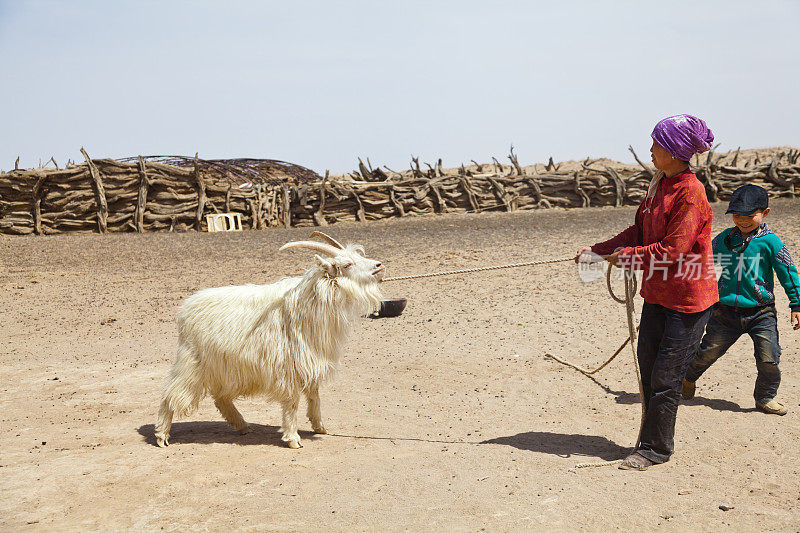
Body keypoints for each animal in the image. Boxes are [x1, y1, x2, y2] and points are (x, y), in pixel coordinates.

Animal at [155, 231, 386, 446]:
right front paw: (293, 438)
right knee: (171, 394)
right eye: (347, 264)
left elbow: (314, 395)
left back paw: (242, 425)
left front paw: (319, 426)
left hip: (225, 367)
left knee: (220, 398)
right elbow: (292, 401)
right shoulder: (290, 365)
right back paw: (161, 435)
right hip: (192, 363)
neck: (306, 303)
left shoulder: (310, 360)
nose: (379, 265)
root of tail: (185, 308)